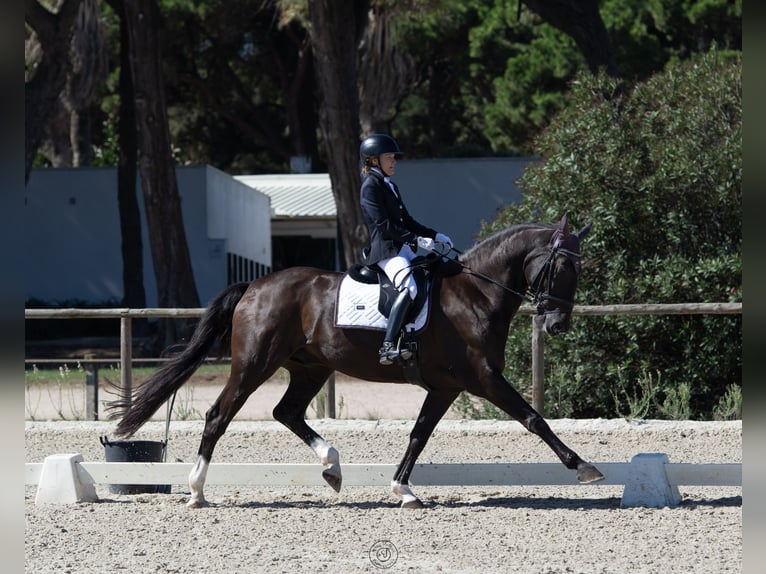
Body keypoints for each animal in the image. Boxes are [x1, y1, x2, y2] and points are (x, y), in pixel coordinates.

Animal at [110, 214, 604, 508]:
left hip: (310, 367)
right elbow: (533, 418)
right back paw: (196, 491)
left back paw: (332, 465)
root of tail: (255, 286)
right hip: (254, 363)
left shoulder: (447, 387)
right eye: (562, 268)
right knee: (219, 415)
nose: (558, 324)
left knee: (286, 412)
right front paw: (584, 467)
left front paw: (403, 490)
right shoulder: (483, 377)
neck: (475, 294)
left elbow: (418, 436)